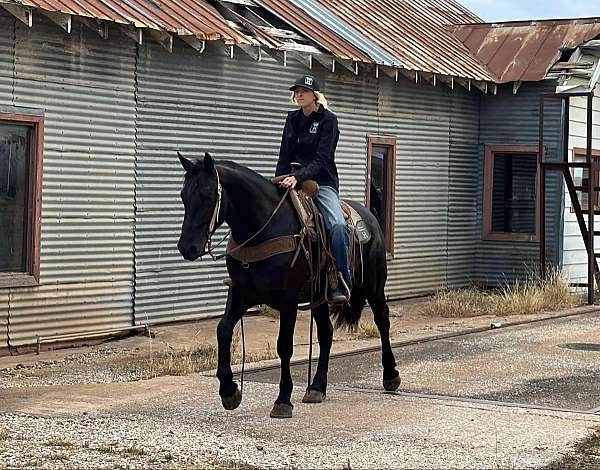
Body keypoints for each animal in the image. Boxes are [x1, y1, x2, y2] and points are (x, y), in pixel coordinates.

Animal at [178, 152, 404, 416]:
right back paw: (317, 387)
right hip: (320, 296)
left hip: (373, 287)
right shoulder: (241, 293)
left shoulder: (288, 299)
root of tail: (370, 217)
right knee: (326, 333)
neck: (261, 228)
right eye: (183, 196)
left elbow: (284, 346)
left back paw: (391, 375)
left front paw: (283, 399)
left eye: (207, 195)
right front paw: (229, 390)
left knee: (382, 321)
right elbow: (223, 330)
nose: (187, 247)